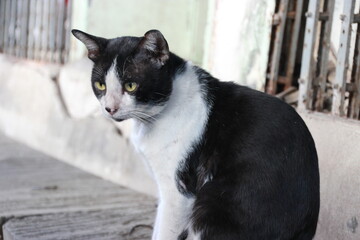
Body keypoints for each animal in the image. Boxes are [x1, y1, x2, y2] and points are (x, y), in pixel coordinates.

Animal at [71, 29, 320, 239]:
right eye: (101, 85)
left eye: (131, 85)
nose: (109, 108)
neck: (150, 121)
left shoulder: (178, 193)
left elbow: (164, 232)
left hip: (210, 202)